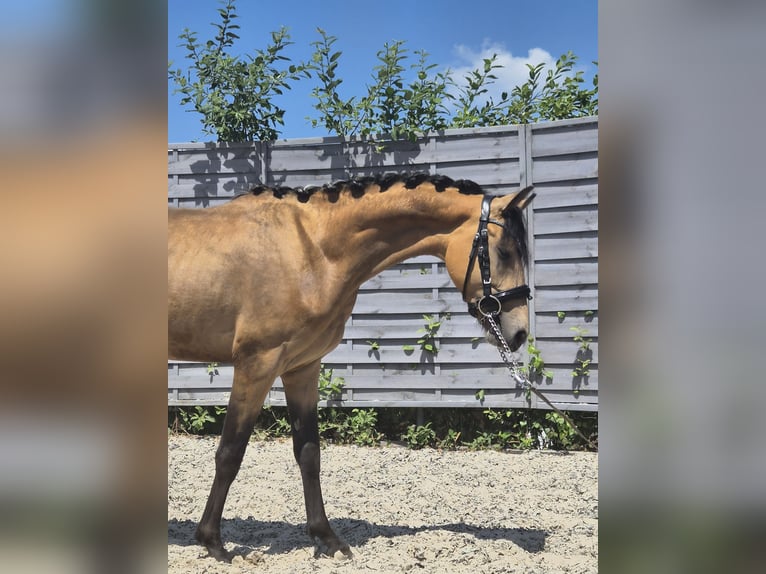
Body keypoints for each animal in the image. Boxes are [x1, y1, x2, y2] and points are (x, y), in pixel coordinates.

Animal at [168, 173, 535, 561]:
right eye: (504, 251)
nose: (519, 332)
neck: (311, 250)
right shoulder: (256, 365)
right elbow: (230, 452)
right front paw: (213, 541)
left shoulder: (302, 368)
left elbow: (309, 453)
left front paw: (327, 538)